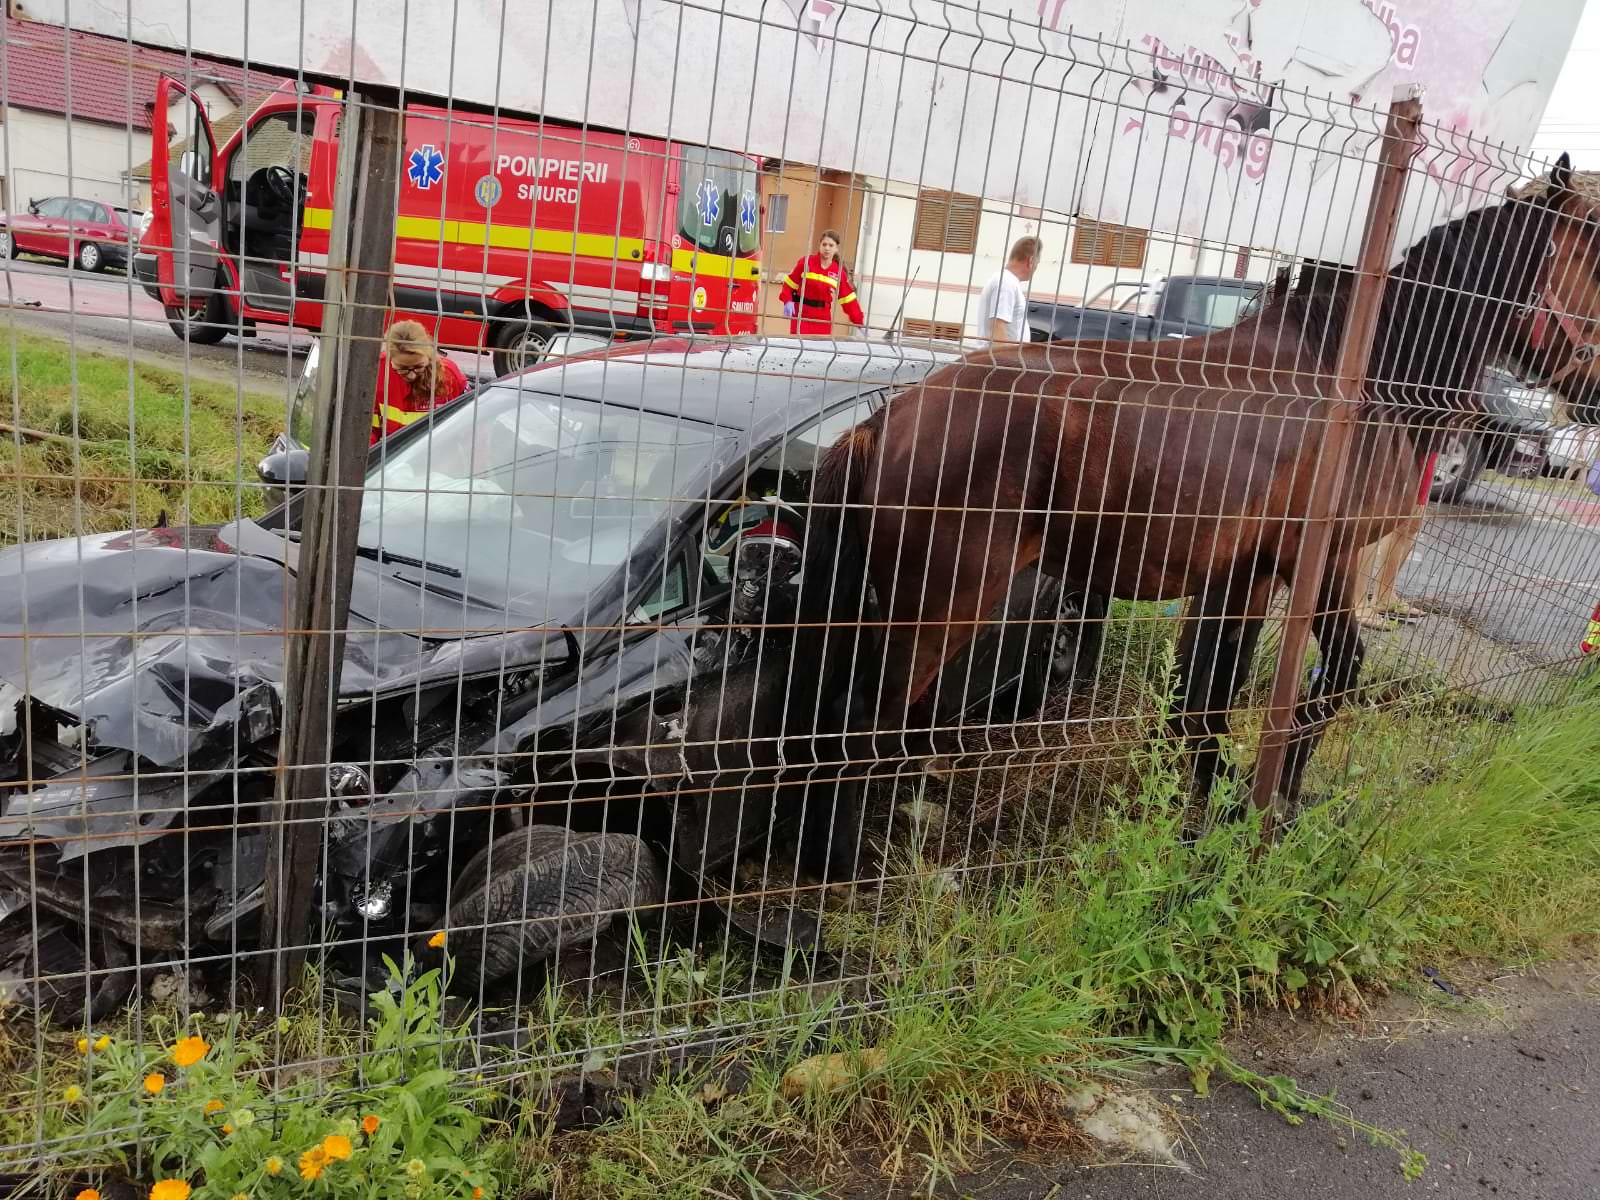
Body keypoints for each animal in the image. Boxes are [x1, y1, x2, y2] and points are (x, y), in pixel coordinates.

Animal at [793, 157, 1600, 857]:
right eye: (1595, 255)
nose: (1589, 401)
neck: (1359, 379)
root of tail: (887, 421)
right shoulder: (1322, 562)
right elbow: (1334, 680)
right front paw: (1273, 803)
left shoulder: (1244, 577)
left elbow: (1202, 704)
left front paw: (1208, 818)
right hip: (940, 605)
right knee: (867, 726)